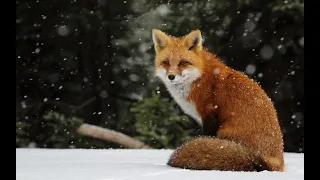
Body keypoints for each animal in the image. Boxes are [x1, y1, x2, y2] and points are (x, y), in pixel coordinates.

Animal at [152, 28, 284, 172]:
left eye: (183, 62)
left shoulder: (209, 113)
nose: (171, 76)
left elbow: (207, 135)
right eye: (165, 62)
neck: (198, 78)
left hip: (224, 132)